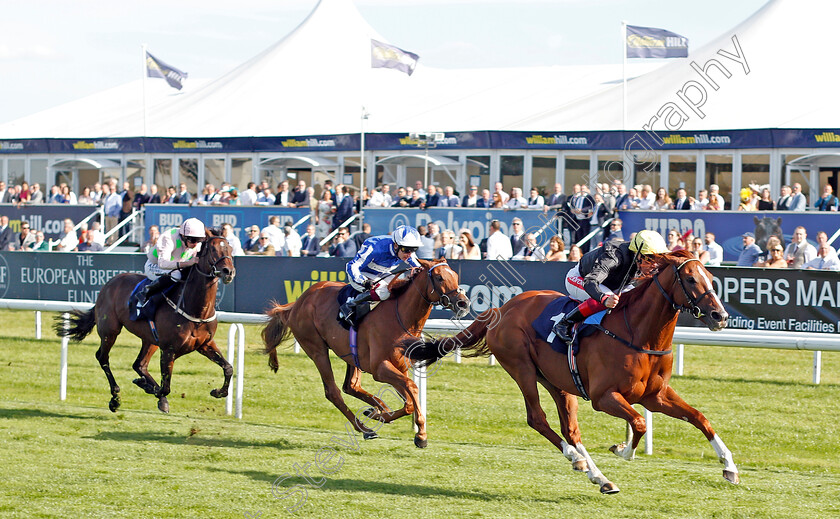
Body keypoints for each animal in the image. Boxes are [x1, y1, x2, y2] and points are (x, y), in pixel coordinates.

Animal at [54, 231, 235, 414]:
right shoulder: (168, 350)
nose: (228, 271)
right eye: (212, 249)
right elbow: (165, 387)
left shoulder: (205, 343)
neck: (195, 309)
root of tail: (109, 284)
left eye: (230, 248)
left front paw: (218, 392)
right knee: (103, 357)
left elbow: (228, 368)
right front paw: (147, 387)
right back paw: (115, 398)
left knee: (139, 365)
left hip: (150, 339)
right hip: (110, 330)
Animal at [262, 258, 470, 446]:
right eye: (439, 277)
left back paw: (377, 408)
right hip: (316, 349)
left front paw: (380, 414)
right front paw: (420, 436)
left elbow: (409, 400)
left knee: (351, 386)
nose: (463, 303)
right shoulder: (380, 368)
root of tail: (297, 303)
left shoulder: (400, 367)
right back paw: (365, 428)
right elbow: (412, 387)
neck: (401, 316)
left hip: (352, 356)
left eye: (456, 276)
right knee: (333, 392)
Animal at [400, 250, 736, 494]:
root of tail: (503, 308)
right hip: (521, 367)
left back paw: (598, 477)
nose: (720, 315)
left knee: (570, 430)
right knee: (537, 419)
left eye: (711, 277)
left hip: (556, 381)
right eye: (690, 279)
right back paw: (579, 460)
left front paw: (729, 467)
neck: (638, 334)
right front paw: (621, 450)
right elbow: (639, 423)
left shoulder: (656, 396)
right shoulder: (605, 397)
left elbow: (699, 418)